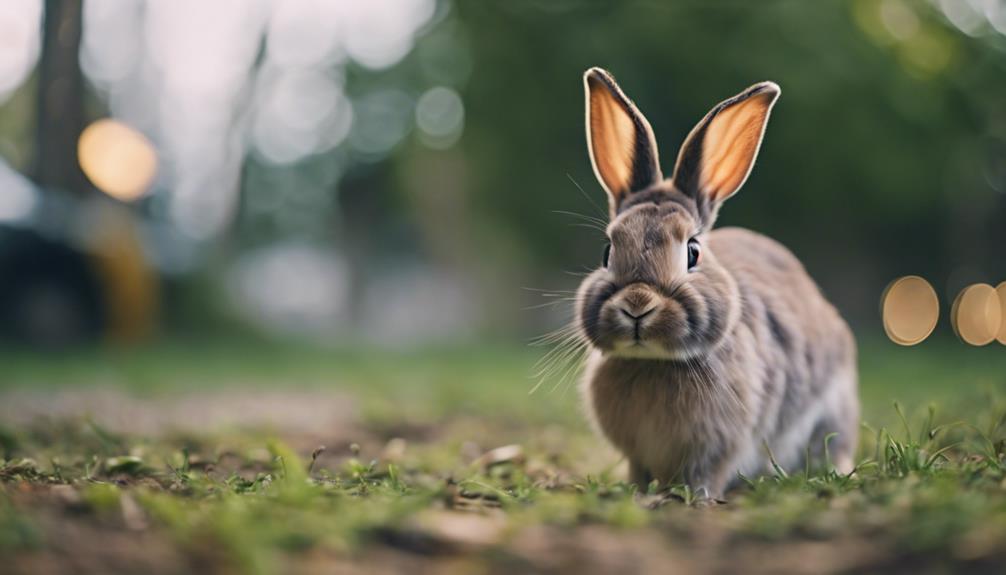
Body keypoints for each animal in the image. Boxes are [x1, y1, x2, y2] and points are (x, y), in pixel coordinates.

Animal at [575, 67, 859, 498]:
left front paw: (693, 497)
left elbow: (706, 473)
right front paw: (638, 492)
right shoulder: (637, 455)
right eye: (607, 252)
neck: (654, 362)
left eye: (692, 251)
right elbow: (639, 471)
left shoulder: (720, 447)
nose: (637, 304)